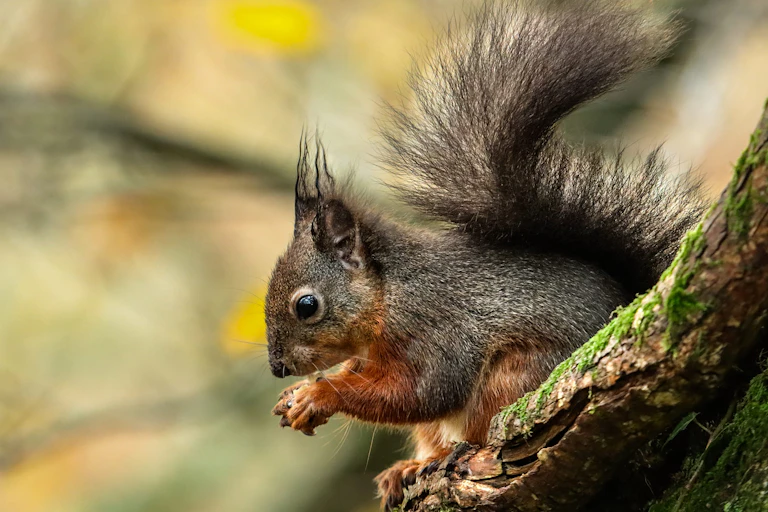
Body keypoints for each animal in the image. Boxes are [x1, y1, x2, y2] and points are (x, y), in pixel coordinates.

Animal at [264, 0, 706, 509]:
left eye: (306, 305)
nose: (277, 367)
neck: (389, 295)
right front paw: (300, 392)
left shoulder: (437, 330)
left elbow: (421, 392)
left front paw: (319, 396)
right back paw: (410, 467)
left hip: (514, 379)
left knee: (475, 430)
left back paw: (451, 456)